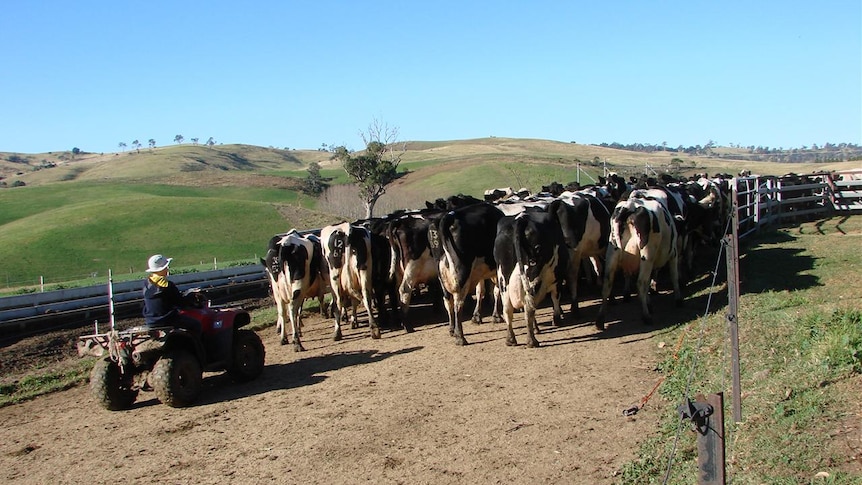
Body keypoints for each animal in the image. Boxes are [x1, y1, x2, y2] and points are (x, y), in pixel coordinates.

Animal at [496, 210, 572, 346]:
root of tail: (520, 219)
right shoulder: (557, 280)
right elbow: (555, 297)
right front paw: (557, 319)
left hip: (503, 279)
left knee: (507, 309)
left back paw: (510, 339)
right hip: (533, 277)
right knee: (529, 308)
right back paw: (532, 341)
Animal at [596, 197, 684, 328]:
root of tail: (629, 206)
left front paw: (649, 303)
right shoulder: (673, 254)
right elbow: (674, 277)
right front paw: (678, 300)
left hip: (612, 252)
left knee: (607, 284)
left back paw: (600, 320)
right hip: (647, 255)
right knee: (641, 283)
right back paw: (646, 316)